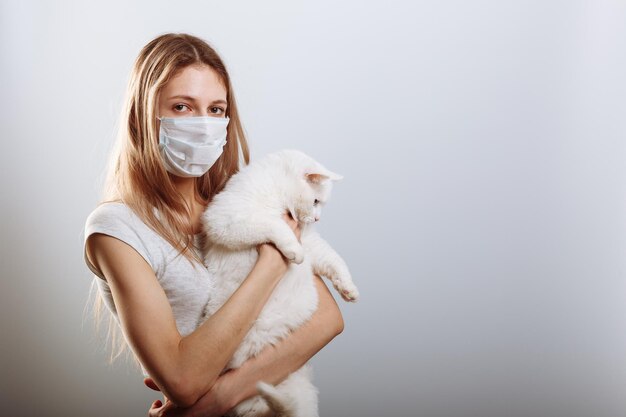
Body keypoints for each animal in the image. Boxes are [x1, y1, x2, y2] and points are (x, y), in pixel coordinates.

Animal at [197, 148, 358, 414]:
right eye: (316, 201)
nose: (317, 219)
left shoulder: (311, 242)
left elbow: (333, 259)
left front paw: (349, 289)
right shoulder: (226, 219)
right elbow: (274, 224)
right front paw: (294, 252)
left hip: (301, 393)